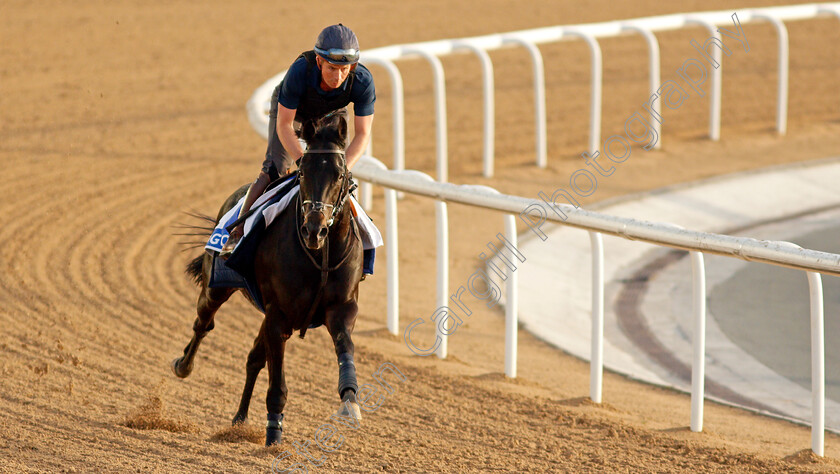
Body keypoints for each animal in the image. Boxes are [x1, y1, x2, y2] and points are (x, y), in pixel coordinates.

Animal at [171, 114, 364, 444]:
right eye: (302, 172)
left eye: (339, 175)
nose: (314, 229)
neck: (321, 256)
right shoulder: (279, 315)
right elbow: (277, 384)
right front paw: (273, 433)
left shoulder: (341, 308)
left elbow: (345, 347)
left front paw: (349, 400)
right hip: (216, 287)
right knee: (203, 323)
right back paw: (183, 365)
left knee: (253, 358)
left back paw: (239, 419)